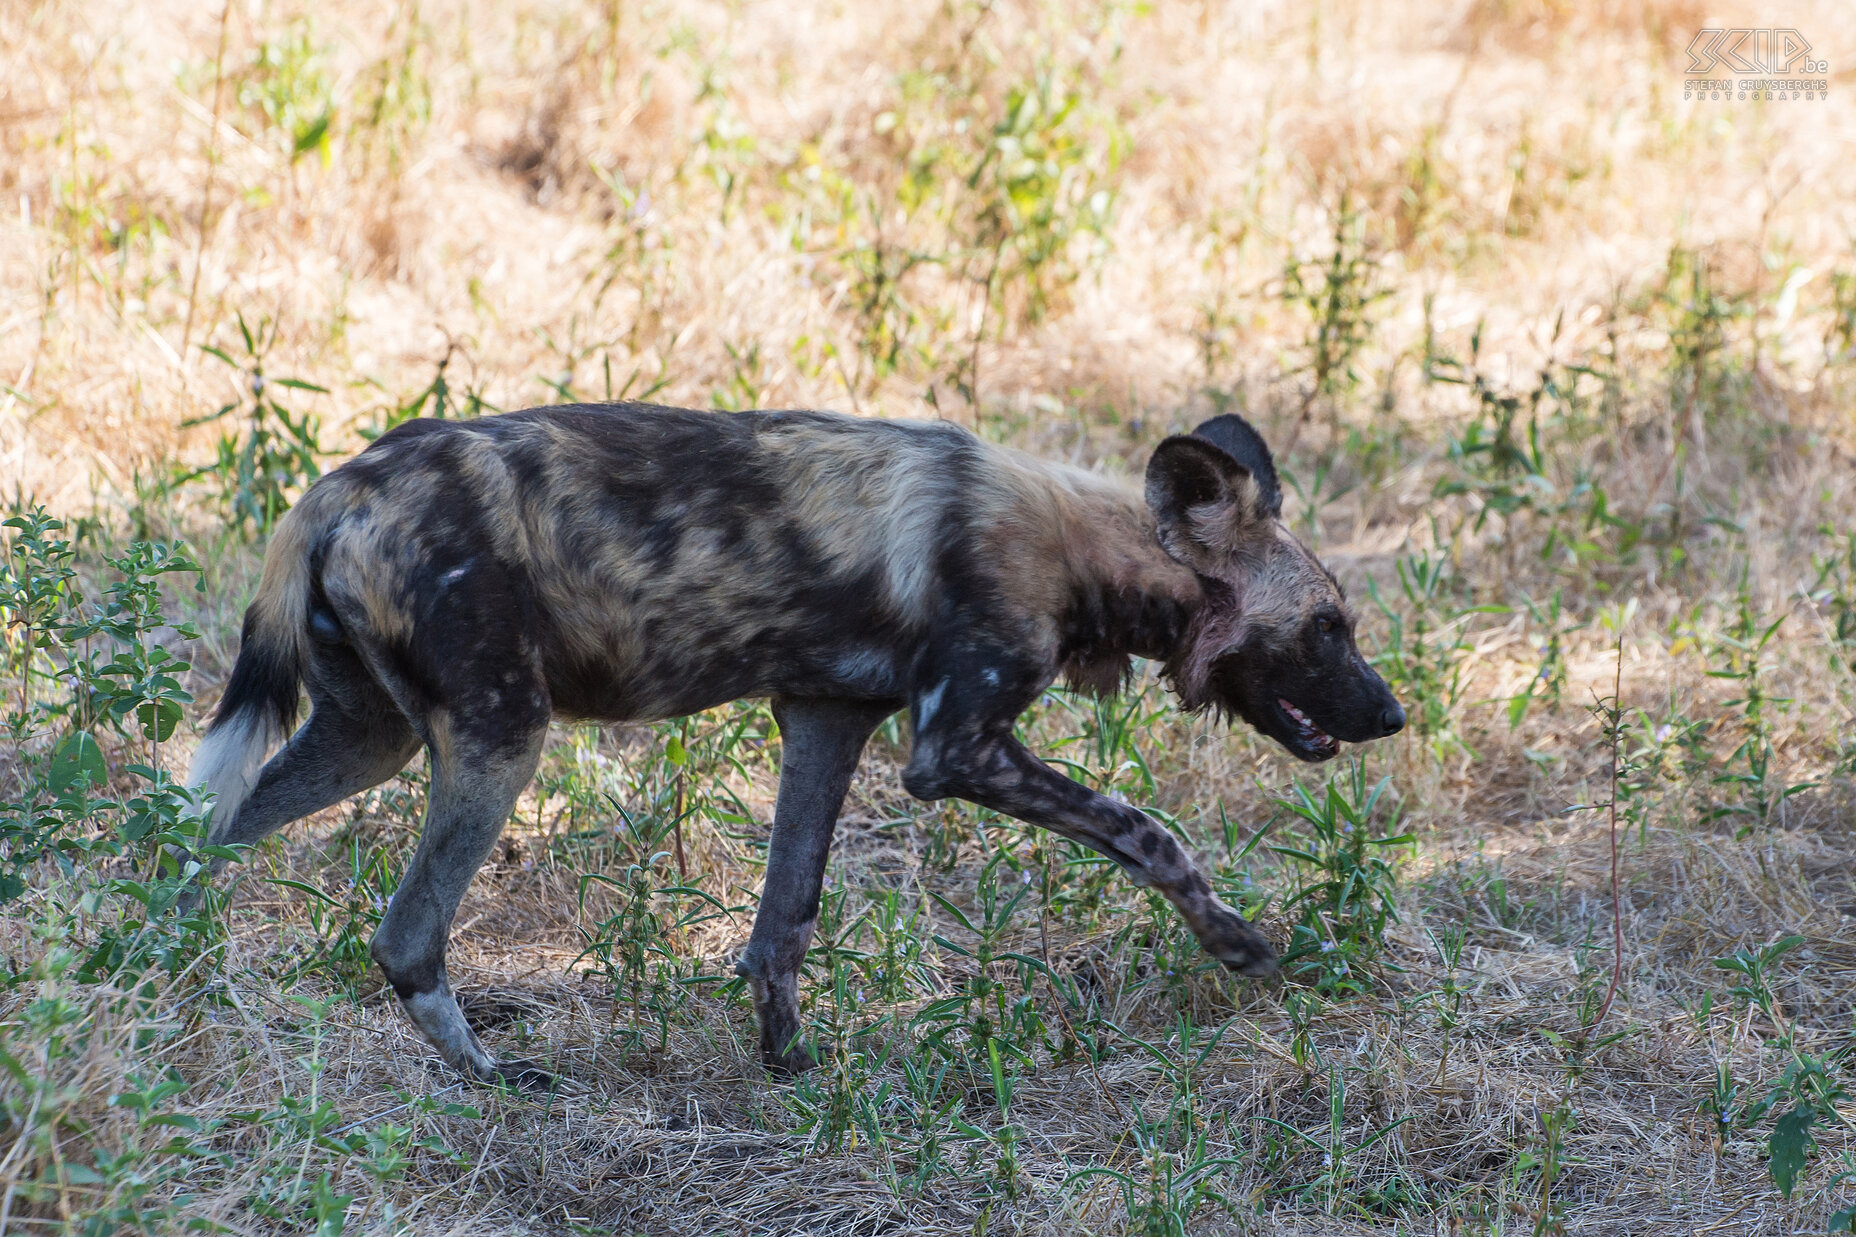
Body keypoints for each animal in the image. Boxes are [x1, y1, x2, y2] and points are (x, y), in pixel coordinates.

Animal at [192, 403, 1403, 1077]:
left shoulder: (825, 721)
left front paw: (792, 1066)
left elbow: (784, 922)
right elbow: (1148, 831)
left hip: (370, 738)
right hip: (498, 741)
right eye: (1325, 626)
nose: (1391, 713)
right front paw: (1237, 942)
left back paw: (169, 979)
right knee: (405, 935)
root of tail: (330, 491)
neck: (1084, 547)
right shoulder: (954, 749)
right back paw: (491, 1075)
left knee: (194, 835)